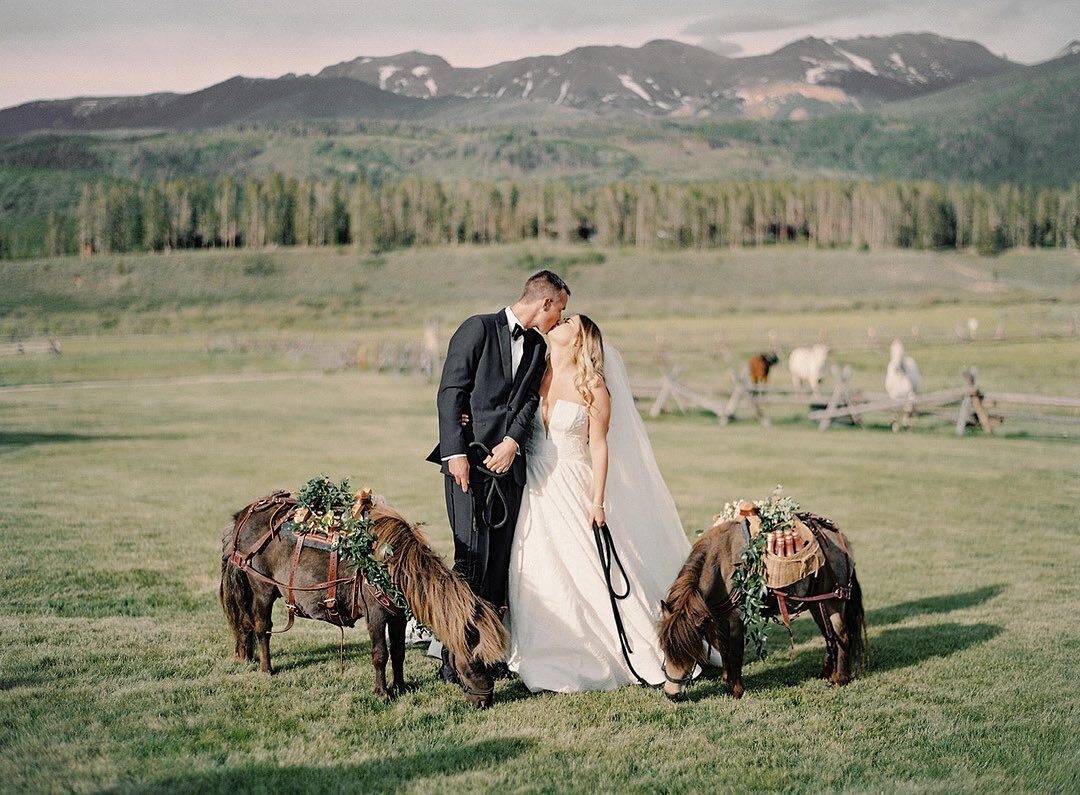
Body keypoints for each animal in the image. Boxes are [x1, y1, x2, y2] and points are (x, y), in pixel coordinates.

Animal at [219, 496, 509, 708]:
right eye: (477, 660)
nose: (484, 702)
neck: (393, 564)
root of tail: (245, 515)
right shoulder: (376, 615)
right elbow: (380, 653)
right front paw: (382, 693)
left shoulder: (398, 615)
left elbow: (399, 652)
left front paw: (401, 686)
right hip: (263, 589)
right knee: (262, 627)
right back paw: (266, 669)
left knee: (247, 625)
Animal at [652, 511, 864, 699]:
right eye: (664, 650)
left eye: (690, 653)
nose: (671, 694)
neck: (722, 564)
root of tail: (840, 539)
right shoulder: (718, 618)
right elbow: (723, 647)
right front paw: (725, 679)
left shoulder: (736, 619)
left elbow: (735, 653)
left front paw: (737, 691)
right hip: (817, 604)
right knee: (829, 636)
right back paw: (827, 673)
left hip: (834, 601)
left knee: (842, 635)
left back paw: (840, 678)